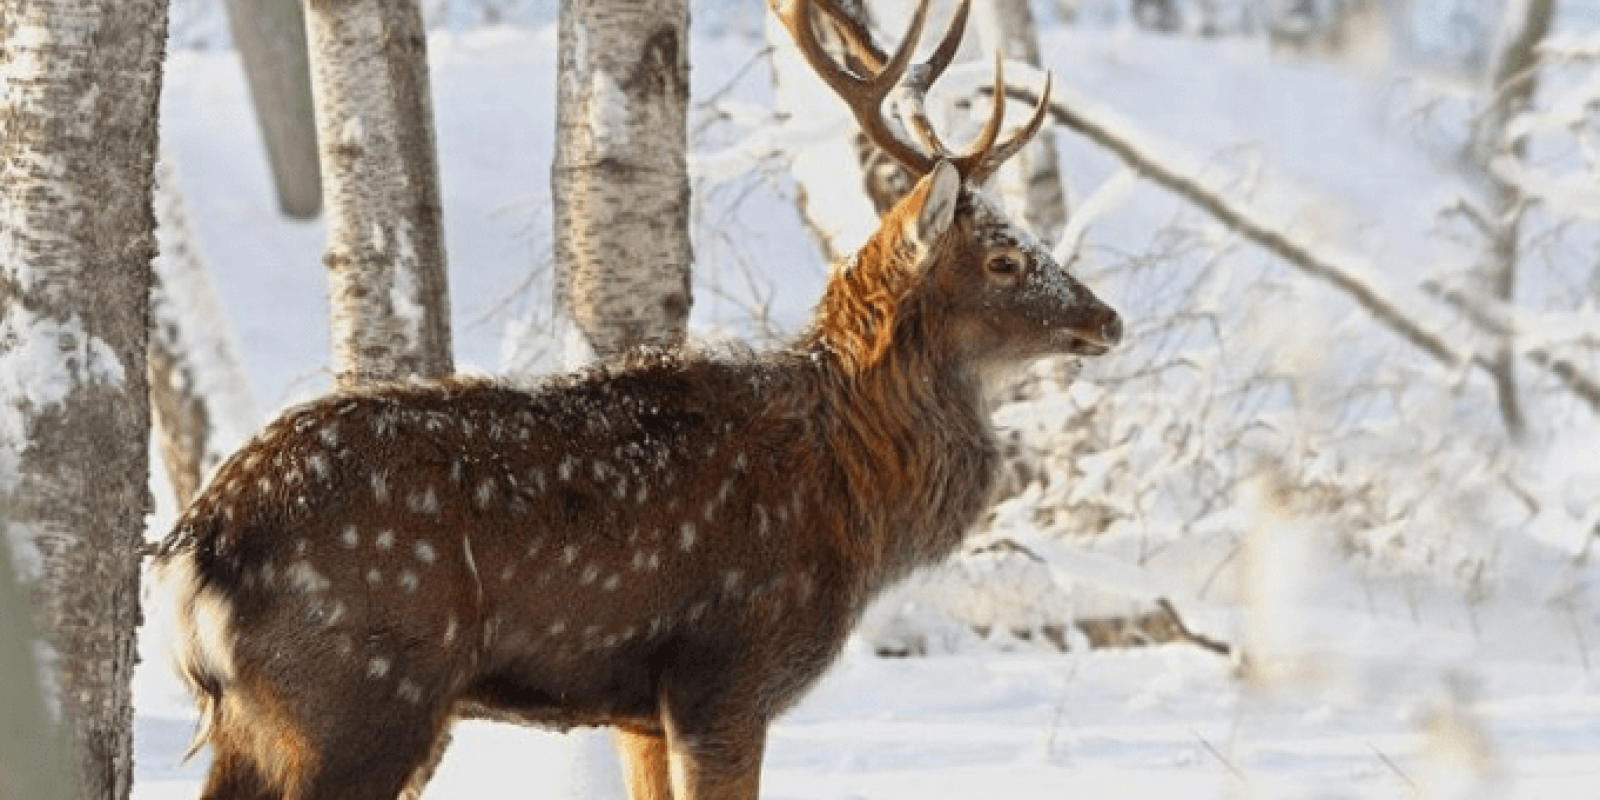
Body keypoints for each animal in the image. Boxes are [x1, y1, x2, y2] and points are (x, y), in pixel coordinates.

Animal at [150, 1, 1126, 800]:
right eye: (1005, 258)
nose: (1108, 318)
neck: (848, 497)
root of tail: (201, 540)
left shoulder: (637, 710)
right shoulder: (724, 674)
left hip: (260, 717)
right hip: (359, 694)